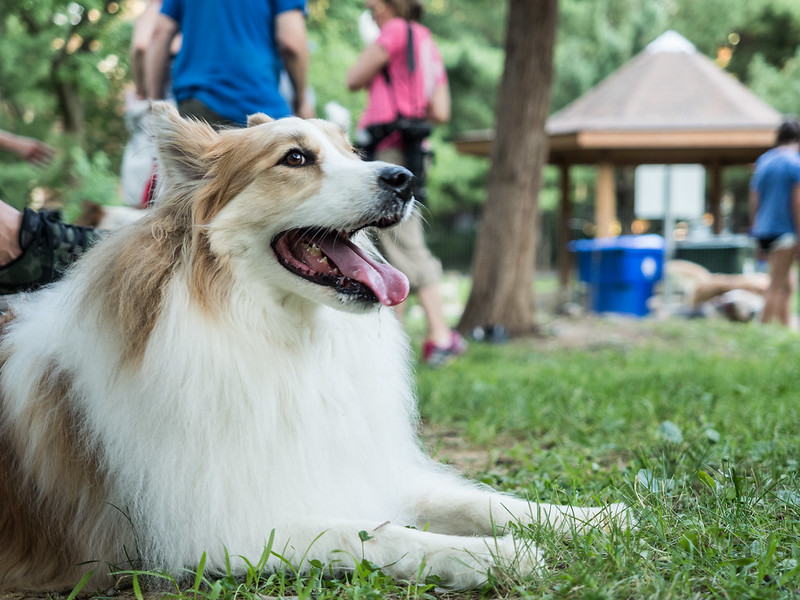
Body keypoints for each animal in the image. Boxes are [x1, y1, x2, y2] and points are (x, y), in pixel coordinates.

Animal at [0, 104, 624, 592]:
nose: (404, 178)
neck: (281, 336)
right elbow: (372, 533)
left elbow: (481, 501)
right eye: (295, 159)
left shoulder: (363, 467)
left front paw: (591, 516)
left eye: (353, 151)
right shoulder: (218, 529)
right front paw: (488, 554)